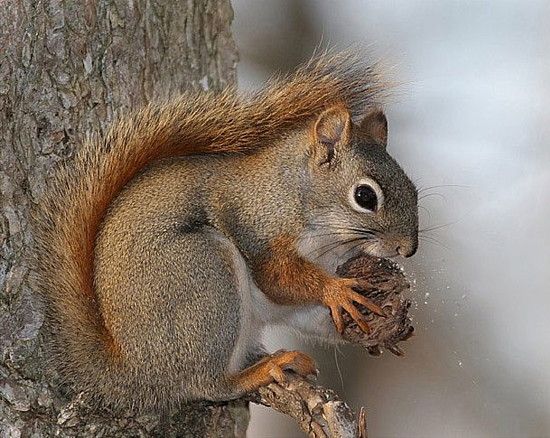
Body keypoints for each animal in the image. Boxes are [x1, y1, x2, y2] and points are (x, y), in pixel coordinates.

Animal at [33, 51, 418, 414]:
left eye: (414, 190)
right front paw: (336, 291)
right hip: (204, 275)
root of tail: (134, 370)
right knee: (208, 384)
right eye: (365, 196)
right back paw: (262, 370)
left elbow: (312, 314)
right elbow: (278, 276)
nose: (408, 249)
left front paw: (388, 326)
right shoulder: (255, 224)